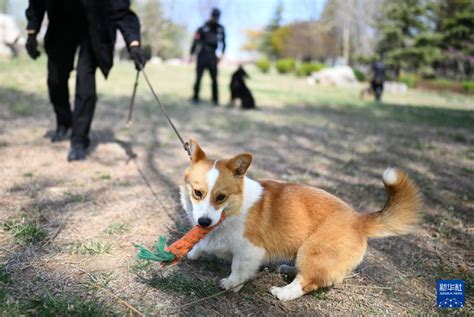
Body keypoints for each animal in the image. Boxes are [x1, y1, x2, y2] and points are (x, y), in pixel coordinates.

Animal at [180, 139, 420, 300]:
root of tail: (359, 220)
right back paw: (288, 269)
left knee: (307, 282)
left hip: (313, 250)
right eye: (198, 193)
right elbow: (201, 244)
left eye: (220, 197)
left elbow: (239, 269)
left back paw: (283, 293)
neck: (233, 209)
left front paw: (231, 284)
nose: (203, 222)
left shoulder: (250, 250)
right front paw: (193, 252)